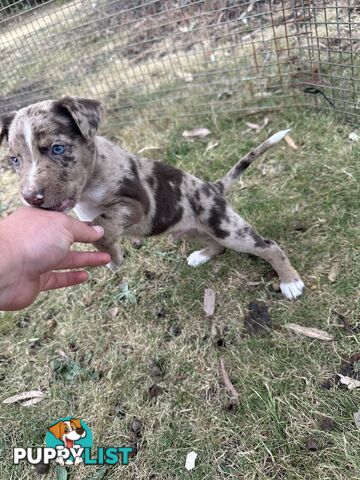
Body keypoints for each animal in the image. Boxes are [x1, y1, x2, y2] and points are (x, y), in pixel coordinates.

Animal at [0, 96, 304, 300]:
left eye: (58, 148)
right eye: (14, 160)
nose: (31, 197)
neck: (89, 185)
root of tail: (213, 187)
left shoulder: (136, 204)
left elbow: (103, 223)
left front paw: (111, 253)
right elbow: (101, 231)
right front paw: (113, 258)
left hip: (226, 227)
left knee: (268, 246)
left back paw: (290, 281)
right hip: (187, 229)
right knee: (217, 245)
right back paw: (202, 256)